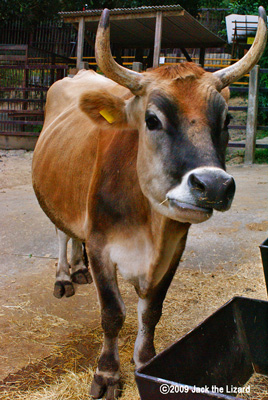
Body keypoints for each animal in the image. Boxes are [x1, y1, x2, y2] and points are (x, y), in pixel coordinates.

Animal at [31, 7, 266, 400]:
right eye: (152, 119)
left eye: (226, 120)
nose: (214, 185)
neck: (149, 228)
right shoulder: (101, 245)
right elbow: (113, 313)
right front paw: (108, 375)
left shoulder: (174, 249)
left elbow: (151, 311)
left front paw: (146, 362)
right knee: (63, 231)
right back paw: (65, 275)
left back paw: (78, 270)